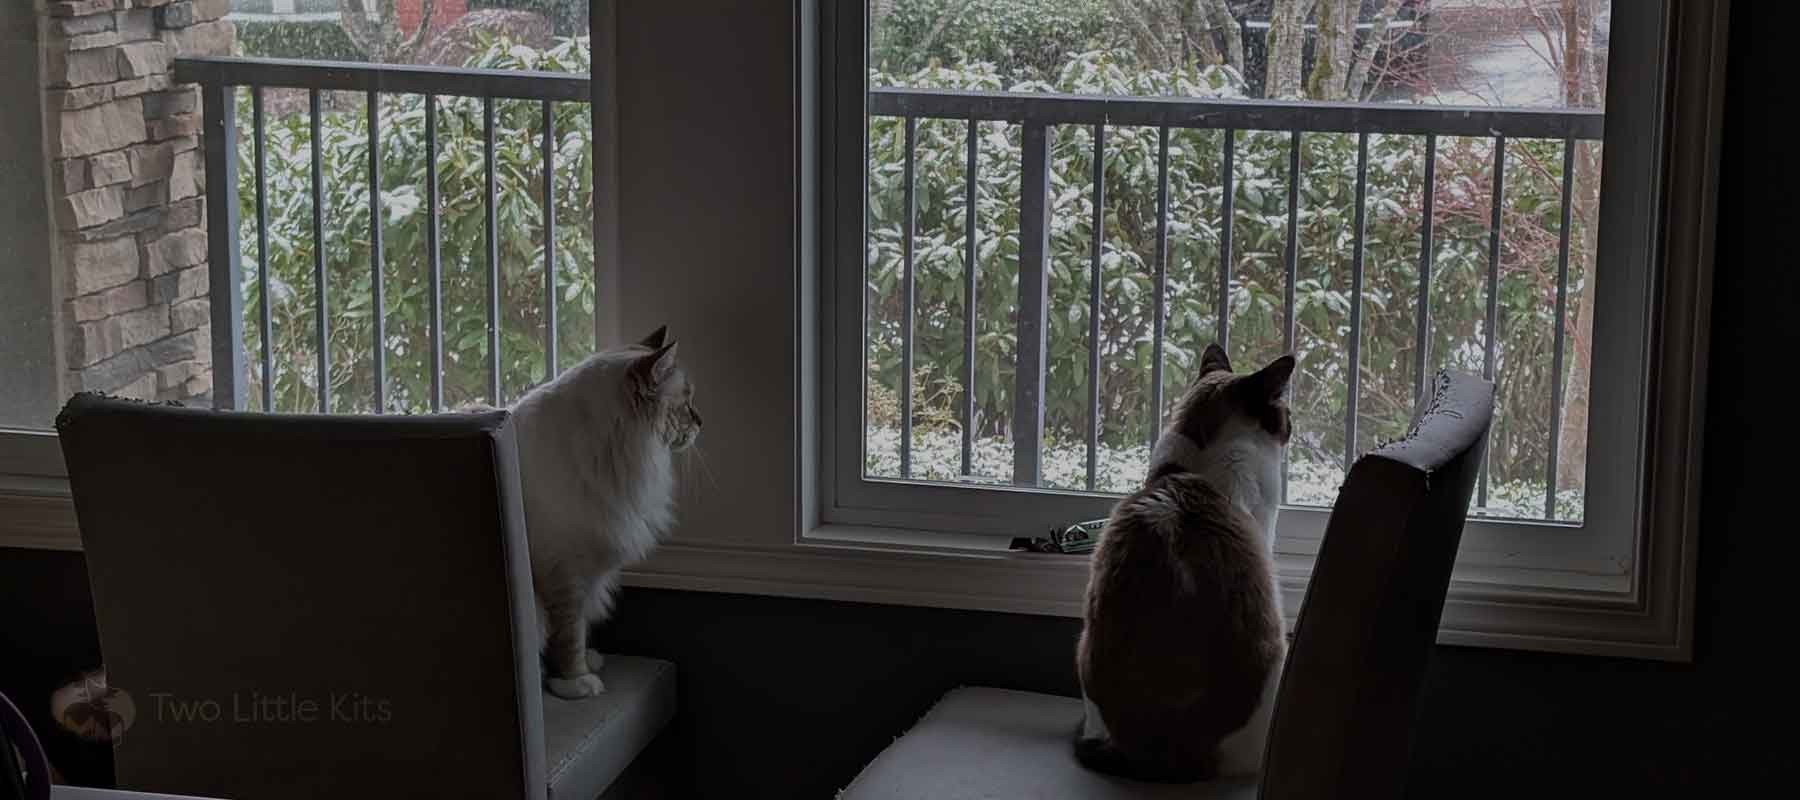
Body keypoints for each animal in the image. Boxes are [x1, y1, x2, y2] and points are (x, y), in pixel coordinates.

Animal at [514, 324, 702, 699]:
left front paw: (585, 662)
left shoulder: (585, 574)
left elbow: (581, 628)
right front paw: (575, 682)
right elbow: (569, 633)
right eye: (687, 404)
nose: (702, 422)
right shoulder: (566, 574)